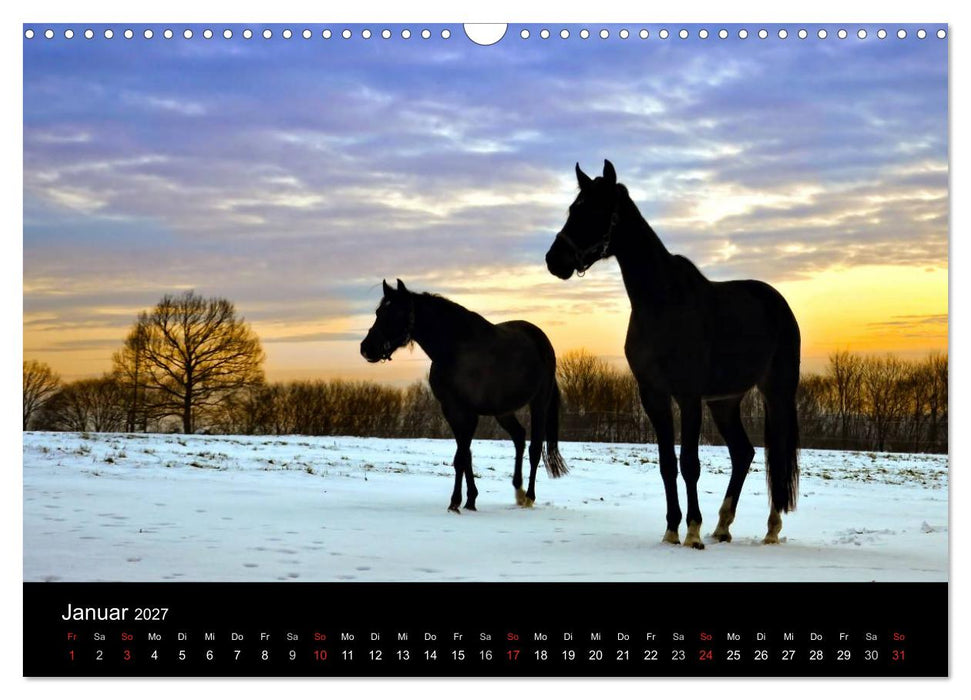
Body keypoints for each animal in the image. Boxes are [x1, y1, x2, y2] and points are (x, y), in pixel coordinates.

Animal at [360, 279, 568, 512]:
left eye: (395, 313)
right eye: (379, 312)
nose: (366, 348)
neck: (455, 350)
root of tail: (541, 340)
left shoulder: (468, 413)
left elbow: (461, 456)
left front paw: (455, 502)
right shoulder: (451, 410)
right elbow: (465, 455)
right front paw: (469, 500)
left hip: (539, 403)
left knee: (534, 449)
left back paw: (529, 497)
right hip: (503, 410)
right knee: (519, 437)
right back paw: (518, 491)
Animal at [545, 160, 800, 548]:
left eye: (595, 209)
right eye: (574, 208)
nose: (554, 260)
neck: (661, 303)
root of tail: (778, 304)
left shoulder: (688, 396)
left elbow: (689, 463)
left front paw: (692, 532)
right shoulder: (653, 394)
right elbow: (667, 463)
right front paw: (671, 530)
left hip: (777, 393)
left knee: (778, 454)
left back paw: (770, 529)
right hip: (725, 401)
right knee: (743, 453)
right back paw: (722, 526)